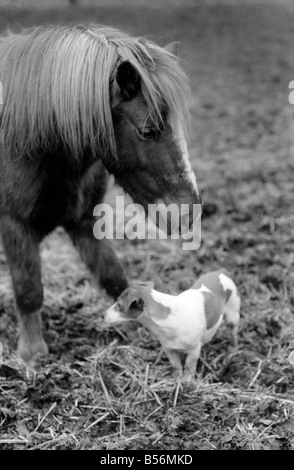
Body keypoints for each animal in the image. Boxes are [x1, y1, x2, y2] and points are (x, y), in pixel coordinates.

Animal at [0, 23, 200, 366]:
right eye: (148, 131)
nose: (186, 214)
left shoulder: (84, 222)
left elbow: (112, 275)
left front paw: (131, 325)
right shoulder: (14, 225)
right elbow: (28, 290)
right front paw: (32, 354)